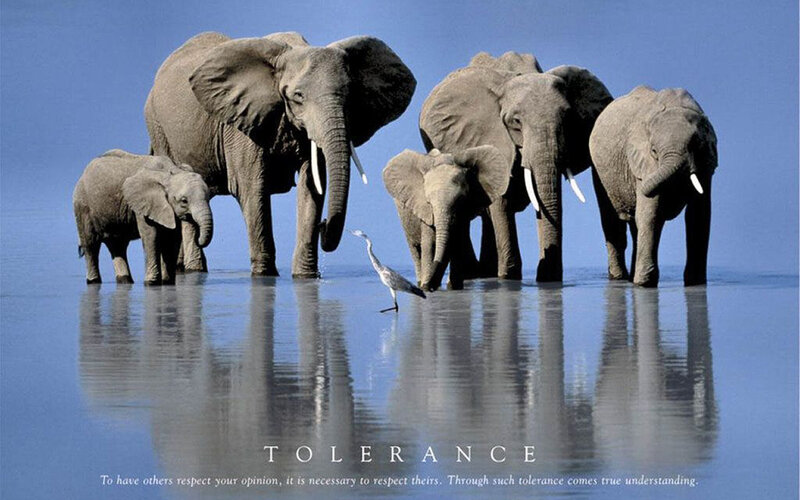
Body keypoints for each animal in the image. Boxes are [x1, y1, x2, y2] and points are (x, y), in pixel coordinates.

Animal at [73, 149, 213, 285]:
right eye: (184, 201)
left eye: (208, 197)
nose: (198, 239)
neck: (169, 172)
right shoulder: (143, 205)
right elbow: (151, 235)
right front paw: (151, 283)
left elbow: (172, 238)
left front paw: (167, 282)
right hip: (82, 206)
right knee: (91, 244)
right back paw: (93, 281)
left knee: (118, 245)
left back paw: (125, 280)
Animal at [145, 31, 415, 277]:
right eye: (298, 97)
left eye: (350, 95)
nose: (324, 226)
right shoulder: (243, 123)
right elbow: (252, 189)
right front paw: (265, 276)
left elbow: (313, 188)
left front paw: (305, 276)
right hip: (157, 127)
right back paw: (194, 270)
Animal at [382, 145, 509, 290]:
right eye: (428, 202)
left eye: (461, 200)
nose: (430, 287)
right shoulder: (425, 212)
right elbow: (430, 245)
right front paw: (428, 286)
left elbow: (458, 243)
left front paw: (454, 288)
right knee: (415, 249)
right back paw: (420, 282)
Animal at [419, 51, 612, 282]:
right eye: (516, 121)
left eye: (567, 117)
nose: (546, 275)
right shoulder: (489, 136)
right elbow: (501, 200)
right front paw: (509, 277)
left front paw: (546, 278)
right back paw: (477, 273)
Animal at [589, 86, 718, 287]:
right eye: (654, 151)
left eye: (695, 145)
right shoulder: (644, 164)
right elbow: (651, 213)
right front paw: (644, 284)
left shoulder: (706, 164)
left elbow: (699, 215)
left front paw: (695, 283)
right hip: (600, 171)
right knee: (613, 222)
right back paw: (620, 278)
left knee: (635, 227)